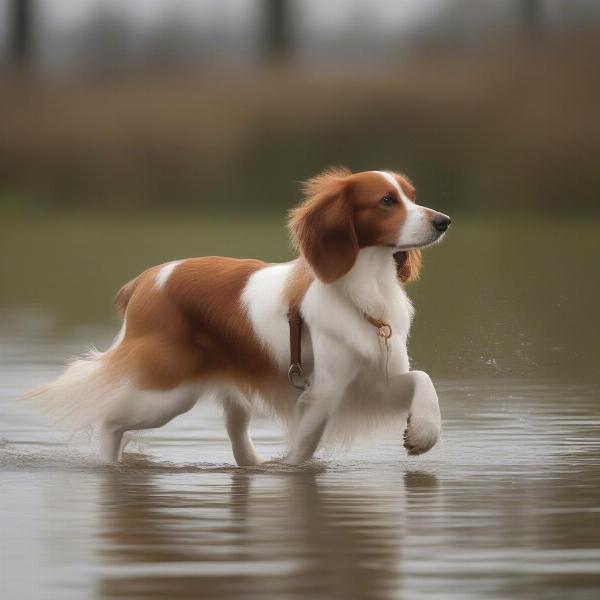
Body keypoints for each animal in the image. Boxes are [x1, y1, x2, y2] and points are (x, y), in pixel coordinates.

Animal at [19, 168, 450, 464]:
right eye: (387, 201)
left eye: (412, 197)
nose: (443, 221)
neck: (364, 287)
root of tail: (144, 281)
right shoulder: (325, 393)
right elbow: (302, 452)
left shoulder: (369, 384)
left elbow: (423, 379)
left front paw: (423, 431)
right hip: (166, 396)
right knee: (110, 421)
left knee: (237, 442)